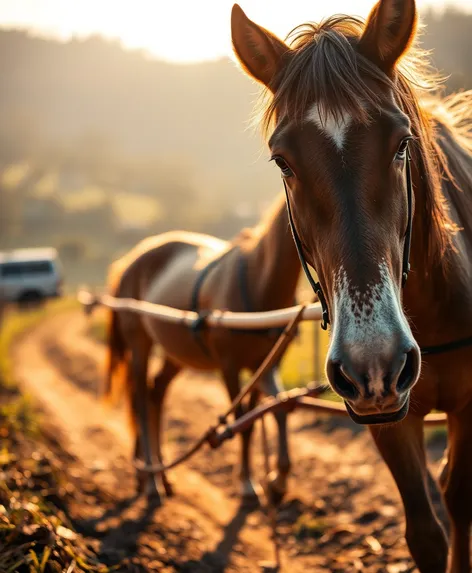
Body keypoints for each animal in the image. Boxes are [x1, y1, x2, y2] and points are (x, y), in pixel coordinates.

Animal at [104, 196, 300, 504]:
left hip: (175, 356)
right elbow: (242, 422)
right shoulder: (230, 367)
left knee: (155, 394)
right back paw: (151, 482)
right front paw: (247, 483)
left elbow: (276, 409)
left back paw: (157, 474)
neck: (257, 282)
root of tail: (131, 260)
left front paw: (277, 480)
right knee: (141, 401)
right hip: (139, 344)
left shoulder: (266, 365)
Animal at [230, 2, 472, 568]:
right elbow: (425, 531)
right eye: (283, 162)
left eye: (402, 144)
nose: (375, 363)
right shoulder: (387, 415)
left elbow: (459, 499)